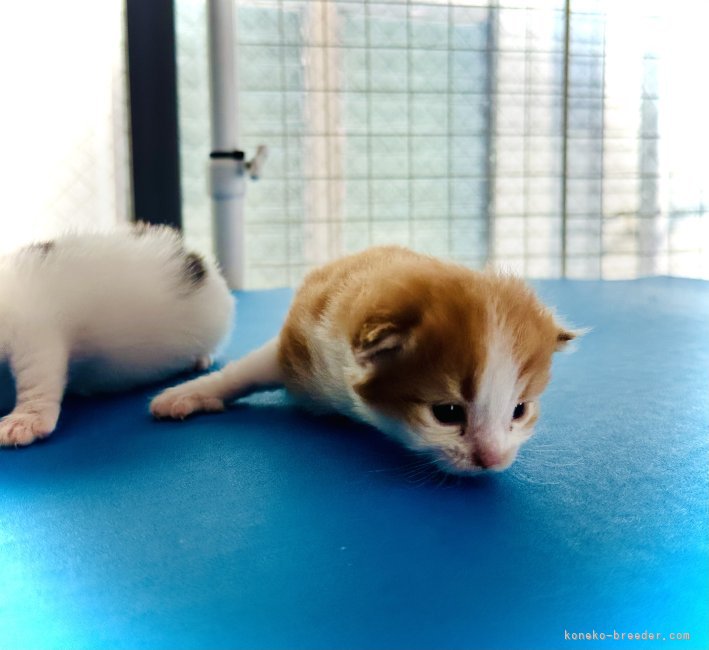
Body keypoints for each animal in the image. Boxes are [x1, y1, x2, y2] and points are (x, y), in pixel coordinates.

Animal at [151, 246, 577, 474]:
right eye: (448, 412)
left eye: (519, 410)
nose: (494, 459)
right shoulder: (302, 344)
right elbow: (245, 371)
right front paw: (186, 394)